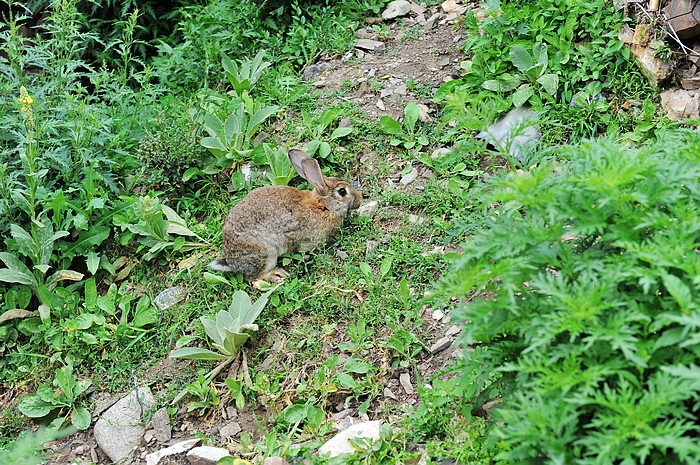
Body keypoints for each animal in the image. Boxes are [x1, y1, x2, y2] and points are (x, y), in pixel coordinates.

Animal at [206, 149, 360, 280]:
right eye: (342, 192)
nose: (359, 200)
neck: (324, 206)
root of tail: (231, 262)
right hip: (266, 252)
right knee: (253, 278)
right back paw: (277, 274)